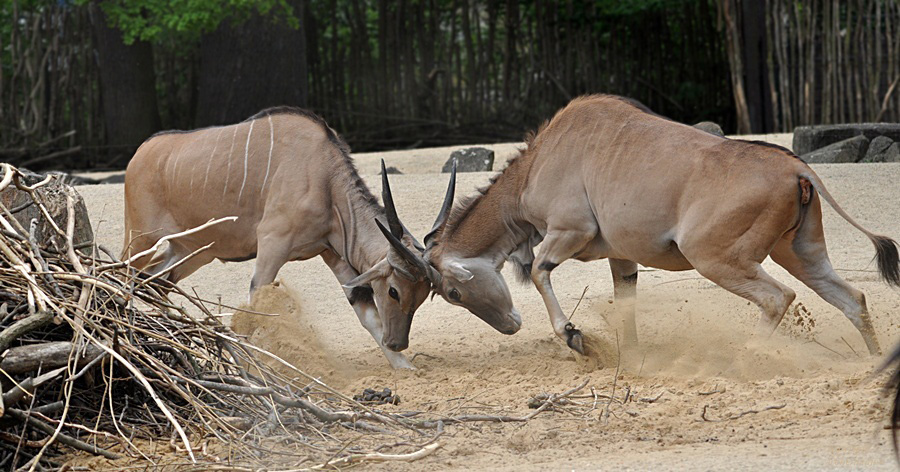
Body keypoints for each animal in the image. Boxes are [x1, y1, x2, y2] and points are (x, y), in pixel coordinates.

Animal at [122, 107, 436, 368]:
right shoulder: (273, 244)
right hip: (140, 240)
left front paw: (404, 368)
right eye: (394, 291)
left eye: (422, 296)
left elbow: (366, 312)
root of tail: (139, 155)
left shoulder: (333, 254)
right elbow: (256, 304)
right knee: (125, 277)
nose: (397, 343)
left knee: (153, 284)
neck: (325, 178)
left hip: (192, 252)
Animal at [424, 95, 900, 354]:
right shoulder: (622, 259)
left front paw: (577, 338)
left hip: (716, 259)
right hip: (800, 254)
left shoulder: (568, 233)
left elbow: (541, 273)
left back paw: (746, 357)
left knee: (776, 297)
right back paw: (871, 366)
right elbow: (626, 304)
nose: (510, 325)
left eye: (452, 292)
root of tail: (797, 169)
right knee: (852, 298)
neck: (536, 164)